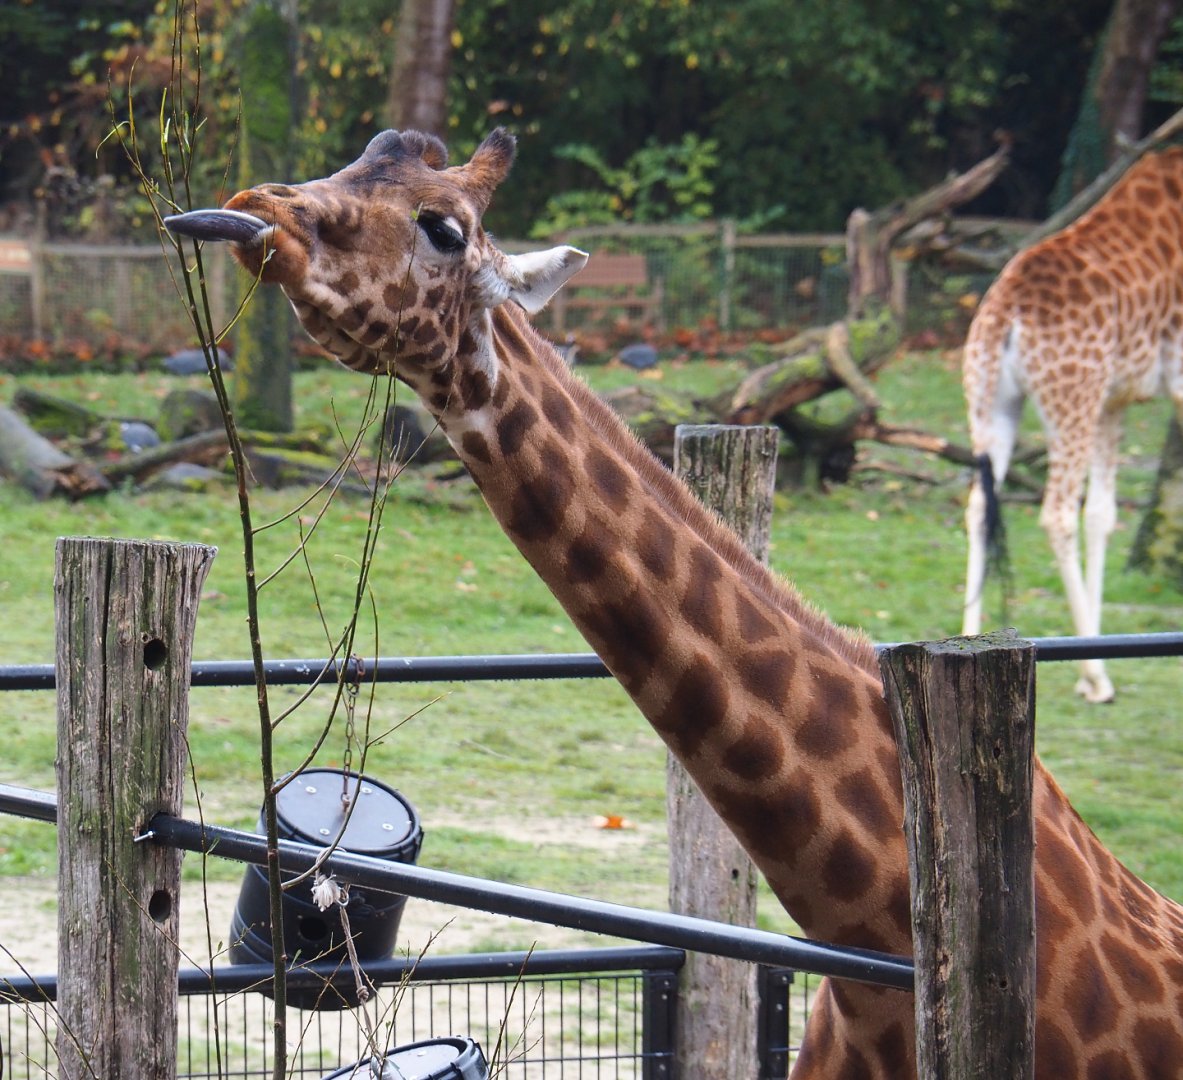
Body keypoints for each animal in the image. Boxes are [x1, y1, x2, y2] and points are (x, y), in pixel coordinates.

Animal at [962, 147, 1183, 703]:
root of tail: (1006, 313)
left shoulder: (1114, 400)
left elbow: (1102, 514)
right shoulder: (1178, 380)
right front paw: (1094, 667)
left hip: (992, 403)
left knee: (978, 506)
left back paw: (969, 636)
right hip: (1070, 400)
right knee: (1055, 513)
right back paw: (1098, 678)